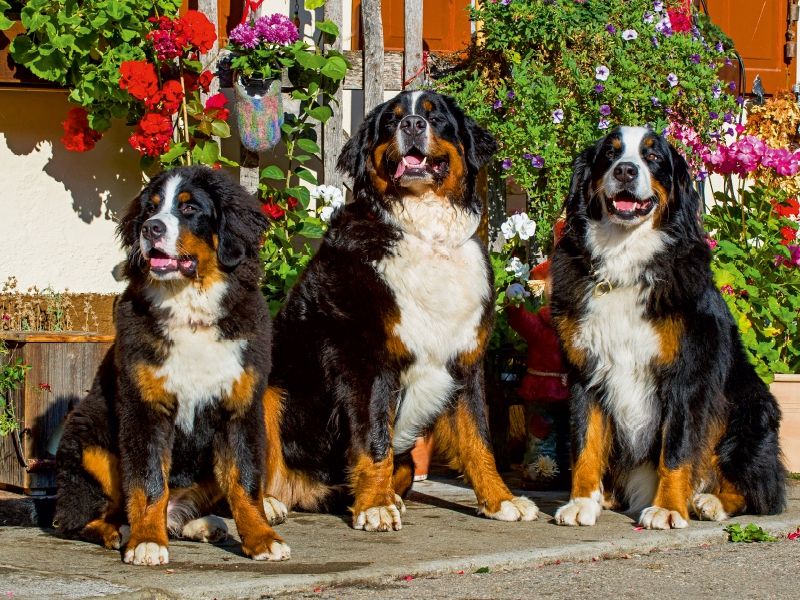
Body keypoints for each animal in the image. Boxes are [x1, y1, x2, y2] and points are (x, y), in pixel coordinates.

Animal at [54, 166, 290, 564]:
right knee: (75, 518)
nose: (151, 228)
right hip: (87, 440)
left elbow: (244, 481)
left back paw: (204, 524)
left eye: (190, 208)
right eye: (150, 208)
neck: (190, 310)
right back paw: (120, 531)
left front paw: (261, 538)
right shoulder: (145, 407)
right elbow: (149, 482)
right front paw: (147, 541)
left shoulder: (239, 407)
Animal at [262, 89, 536, 528]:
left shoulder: (465, 362)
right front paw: (374, 506)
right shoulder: (366, 361)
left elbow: (478, 439)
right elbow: (373, 439)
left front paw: (500, 500)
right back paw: (266, 504)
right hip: (270, 390)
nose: (411, 124)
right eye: (391, 121)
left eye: (435, 117)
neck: (428, 236)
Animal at [552, 124, 788, 528]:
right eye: (610, 154)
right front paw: (582, 501)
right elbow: (585, 443)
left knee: (763, 491)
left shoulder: (686, 375)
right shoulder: (586, 372)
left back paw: (711, 501)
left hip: (750, 409)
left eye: (653, 157)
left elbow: (675, 448)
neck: (625, 264)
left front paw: (667, 508)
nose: (625, 171)